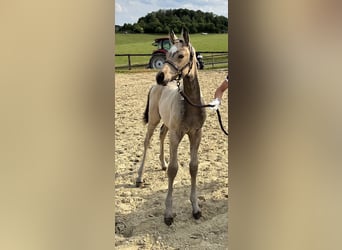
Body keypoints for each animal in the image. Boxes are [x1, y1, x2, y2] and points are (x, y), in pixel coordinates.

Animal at [136, 29, 206, 227]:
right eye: (166, 55)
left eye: (181, 55)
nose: (160, 77)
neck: (190, 104)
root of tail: (154, 86)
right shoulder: (176, 135)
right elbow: (174, 170)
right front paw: (168, 213)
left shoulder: (196, 134)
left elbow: (193, 166)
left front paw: (195, 208)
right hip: (154, 119)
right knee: (147, 141)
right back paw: (139, 177)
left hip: (166, 123)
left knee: (161, 135)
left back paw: (162, 163)